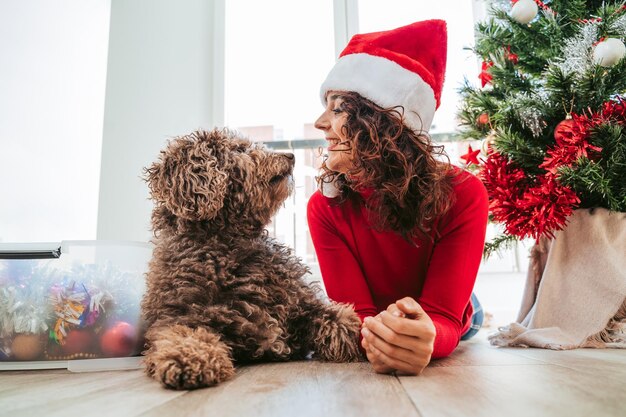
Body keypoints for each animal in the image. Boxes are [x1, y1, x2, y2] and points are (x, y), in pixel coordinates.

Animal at [139, 128, 358, 388]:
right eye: (239, 149)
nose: (290, 156)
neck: (228, 244)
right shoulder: (179, 317)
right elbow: (182, 336)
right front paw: (190, 359)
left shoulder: (303, 304)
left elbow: (337, 319)